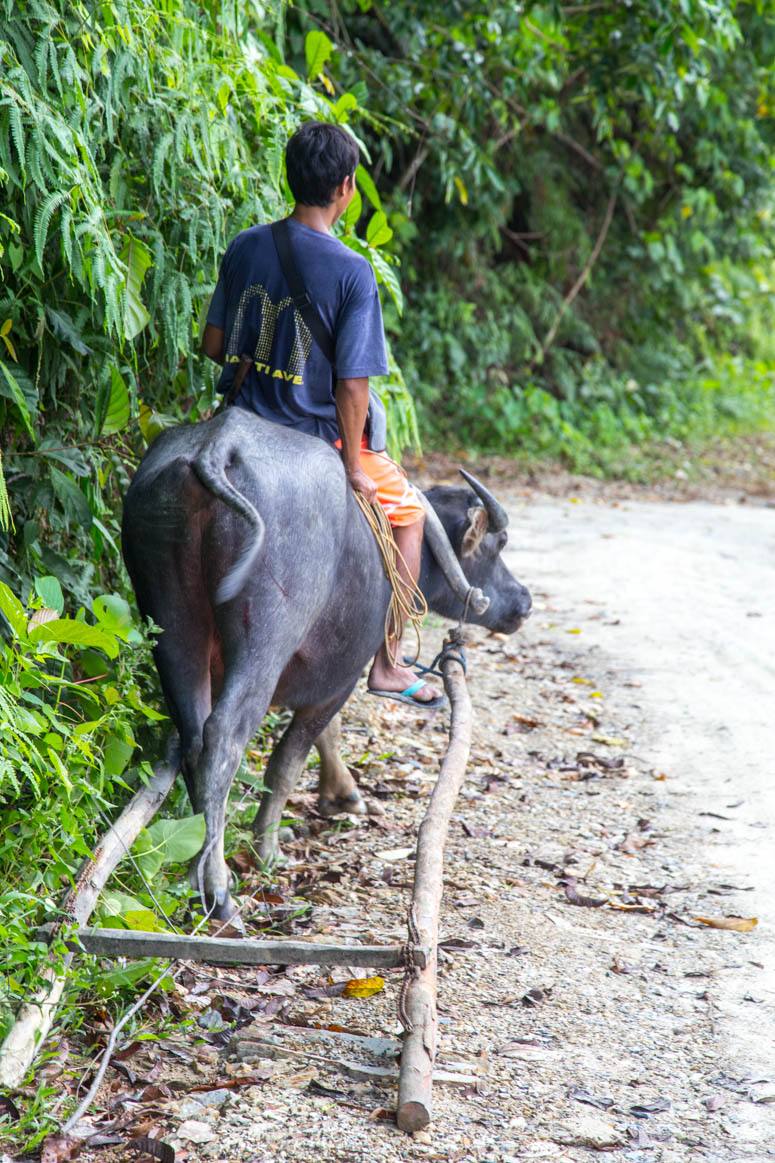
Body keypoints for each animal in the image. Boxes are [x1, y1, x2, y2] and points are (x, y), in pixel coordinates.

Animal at [122, 409, 530, 916]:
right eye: (498, 543)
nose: (523, 602)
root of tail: (219, 443)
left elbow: (323, 738)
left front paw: (343, 793)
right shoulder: (342, 677)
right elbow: (289, 759)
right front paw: (268, 847)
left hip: (171, 621)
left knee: (194, 733)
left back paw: (197, 865)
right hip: (264, 639)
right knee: (224, 737)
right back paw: (217, 887)